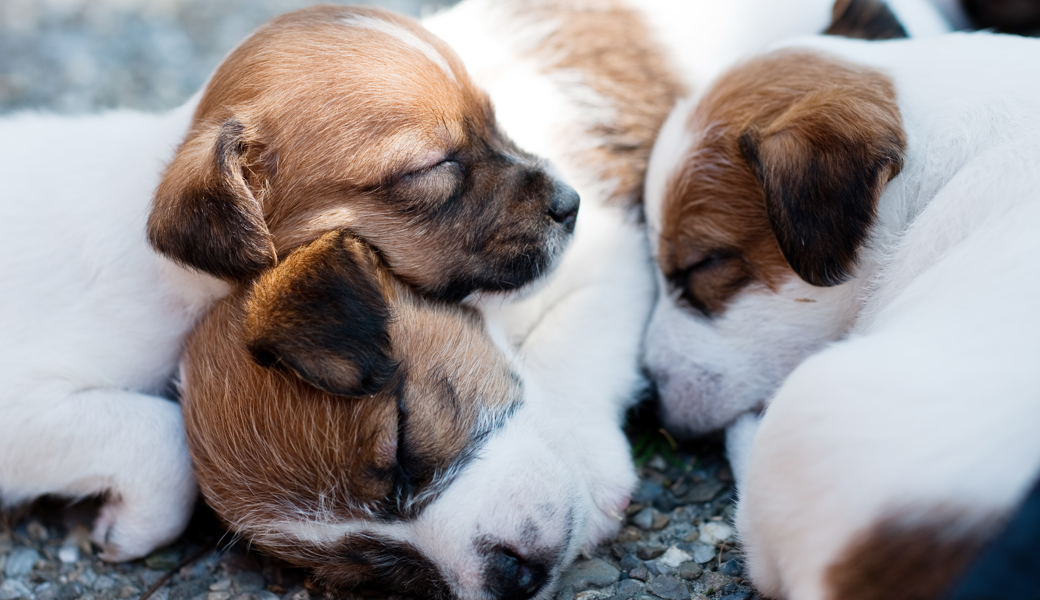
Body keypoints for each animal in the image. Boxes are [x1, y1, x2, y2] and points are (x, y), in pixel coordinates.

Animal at [0, 4, 578, 557]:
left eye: (495, 120)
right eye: (431, 167)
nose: (571, 204)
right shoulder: (24, 401)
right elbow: (161, 436)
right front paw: (130, 528)